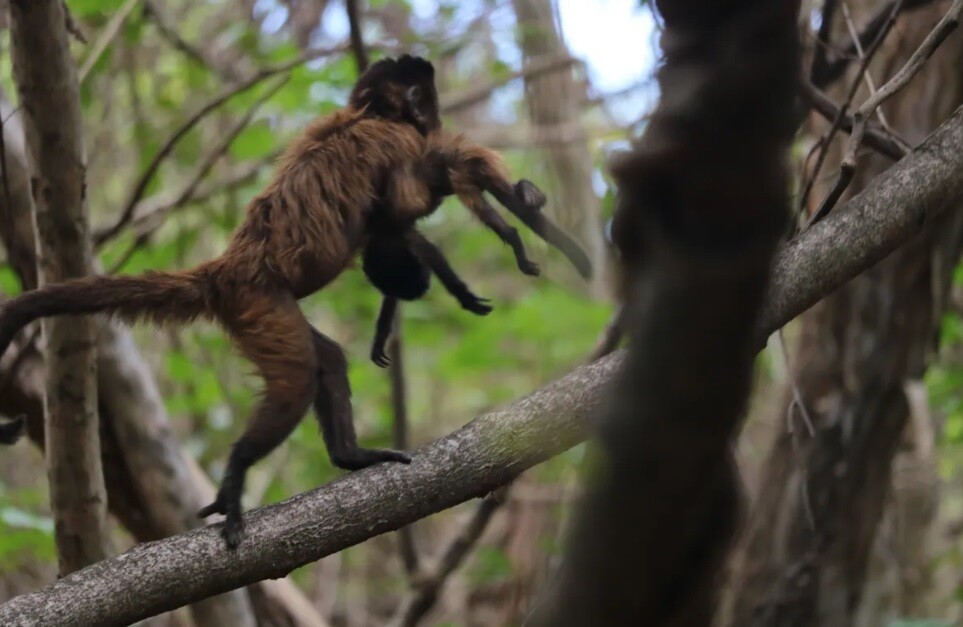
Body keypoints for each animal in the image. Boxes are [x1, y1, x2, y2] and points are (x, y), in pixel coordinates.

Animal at [0, 55, 564, 548]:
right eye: (424, 97)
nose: (432, 115)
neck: (367, 113)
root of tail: (226, 268)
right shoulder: (398, 141)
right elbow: (404, 209)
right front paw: (506, 232)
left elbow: (392, 230)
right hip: (261, 303)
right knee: (296, 376)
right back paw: (236, 473)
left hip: (258, 311)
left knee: (324, 358)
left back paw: (349, 457)